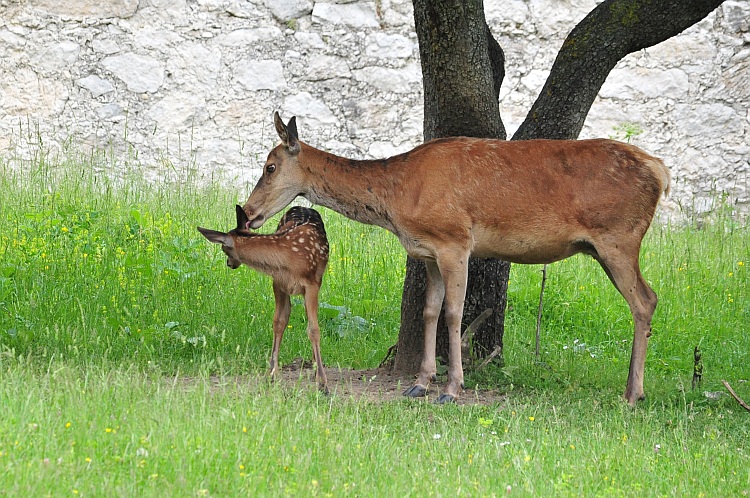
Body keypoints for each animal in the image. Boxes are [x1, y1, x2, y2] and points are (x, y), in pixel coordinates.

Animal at [198, 205, 330, 392]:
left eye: (224, 249)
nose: (229, 264)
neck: (288, 259)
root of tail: (303, 205)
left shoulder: (312, 284)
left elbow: (313, 329)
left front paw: (323, 383)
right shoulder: (278, 283)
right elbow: (279, 322)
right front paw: (271, 374)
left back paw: (316, 370)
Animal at [245, 113, 668, 404]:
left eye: (269, 167)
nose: (248, 212)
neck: (399, 199)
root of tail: (660, 172)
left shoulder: (455, 241)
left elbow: (454, 312)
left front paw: (452, 388)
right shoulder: (428, 251)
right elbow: (430, 311)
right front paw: (420, 383)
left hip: (619, 237)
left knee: (645, 300)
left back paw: (633, 394)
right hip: (605, 246)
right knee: (646, 299)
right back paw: (634, 389)